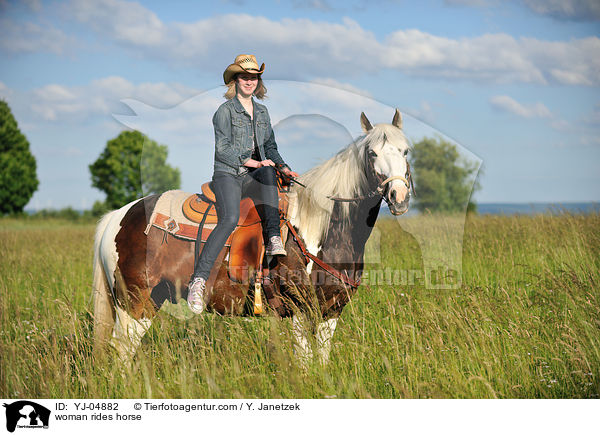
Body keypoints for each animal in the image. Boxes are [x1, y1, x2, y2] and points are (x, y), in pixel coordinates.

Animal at [92, 108, 412, 364]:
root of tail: (118, 215)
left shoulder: (330, 311)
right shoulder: (297, 309)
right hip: (135, 303)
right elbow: (305, 362)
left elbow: (321, 361)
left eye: (406, 151)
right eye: (372, 153)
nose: (398, 196)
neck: (321, 227)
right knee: (122, 350)